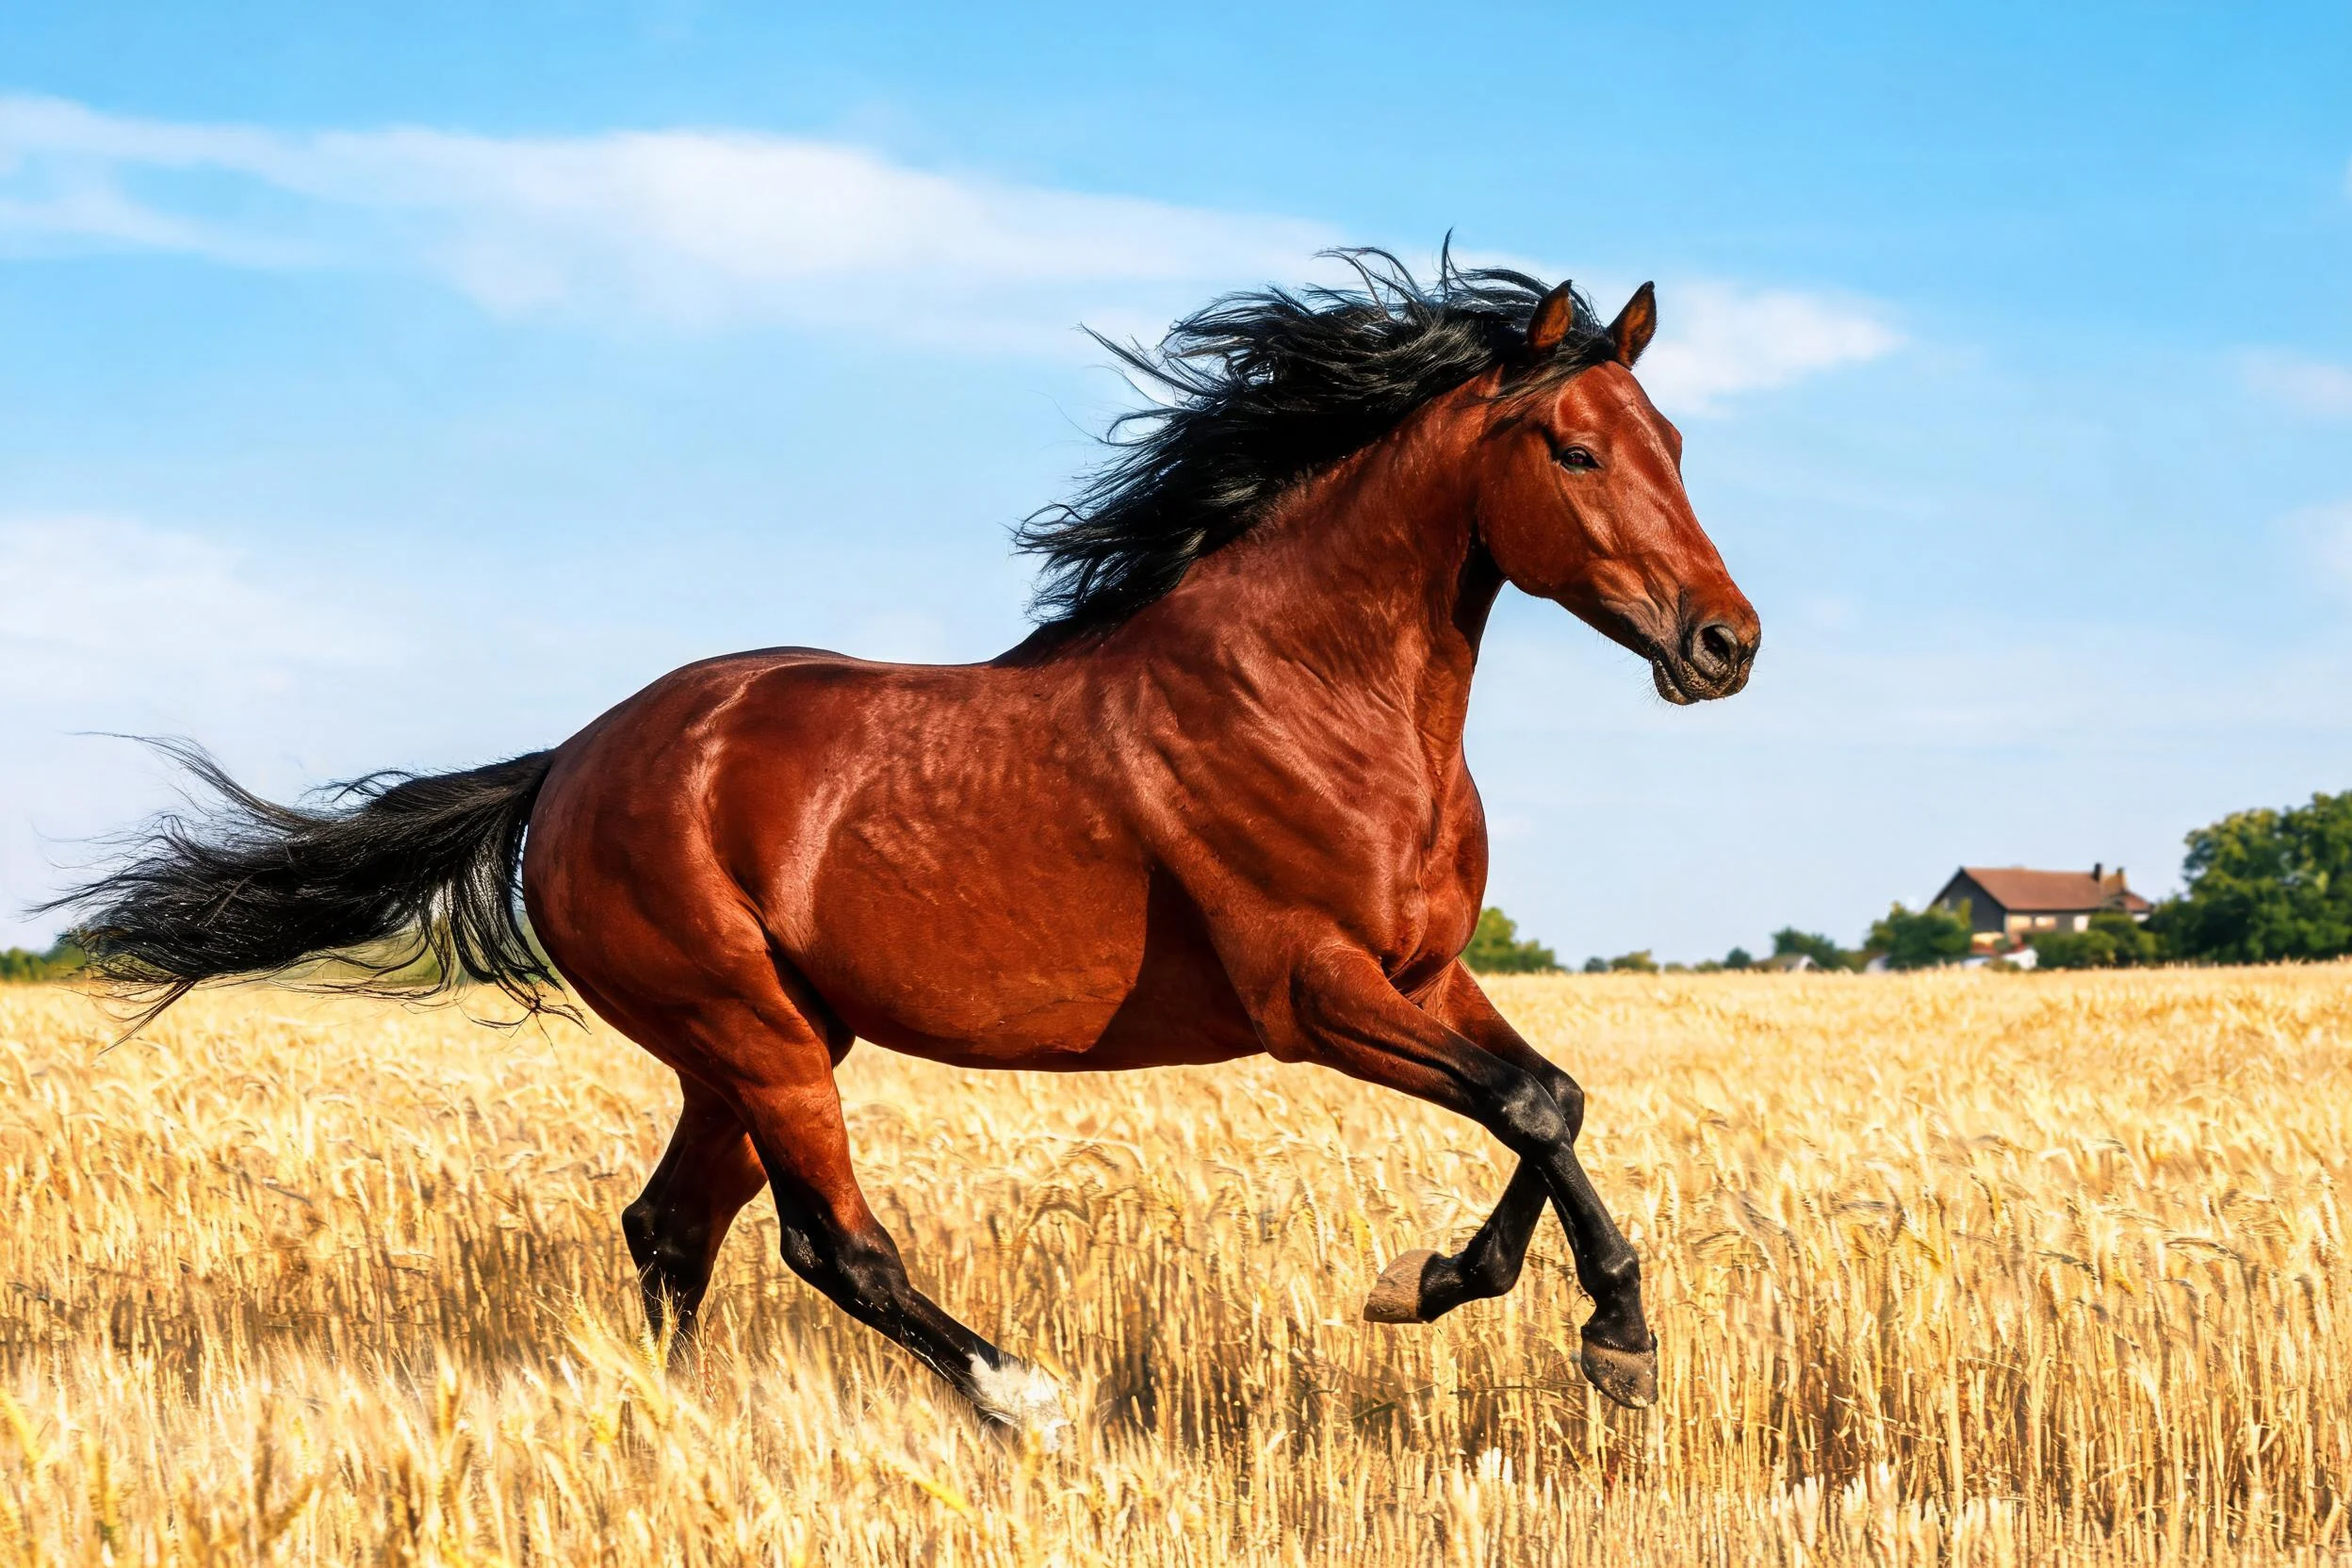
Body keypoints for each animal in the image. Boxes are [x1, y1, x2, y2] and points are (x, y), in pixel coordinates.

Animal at [58, 253, 1759, 1445]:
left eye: (1674, 438)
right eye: (1573, 450)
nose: (1724, 643)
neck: (1317, 692)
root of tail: (572, 764)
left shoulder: (1423, 972)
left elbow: (1550, 1101)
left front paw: (1475, 1295)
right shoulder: (1311, 993)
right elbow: (1533, 1103)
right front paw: (1599, 1337)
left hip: (758, 1042)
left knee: (673, 1227)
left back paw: (671, 1429)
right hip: (751, 1029)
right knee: (832, 1243)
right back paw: (1023, 1395)